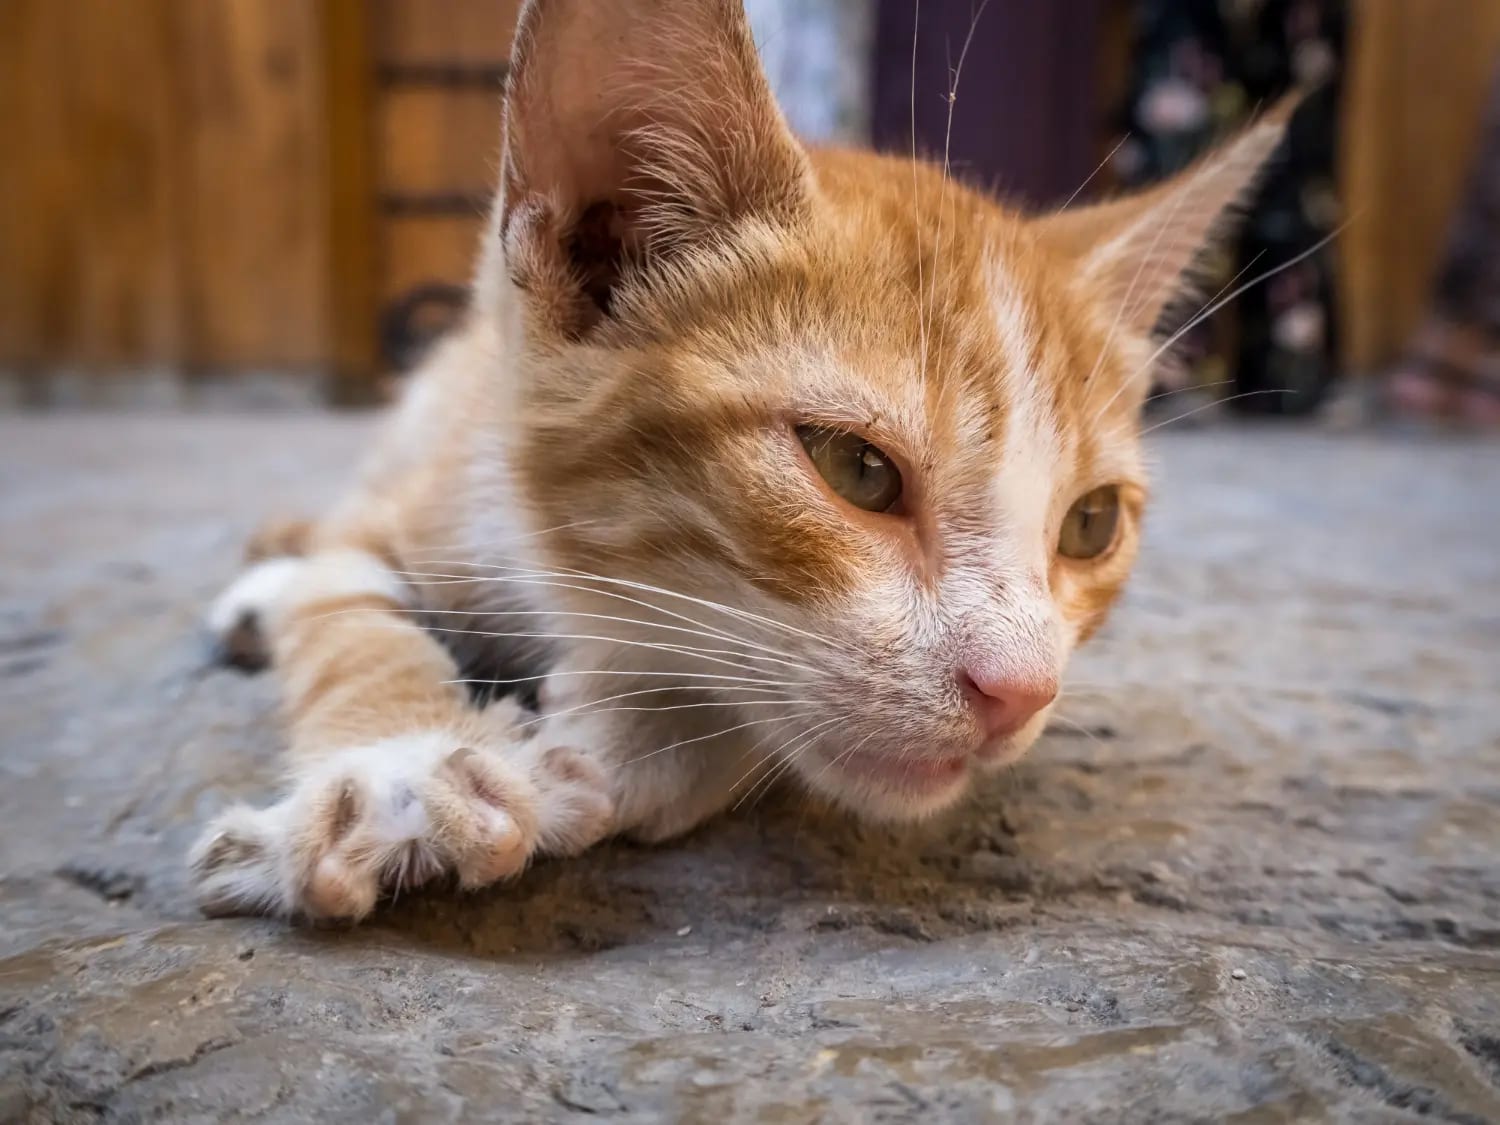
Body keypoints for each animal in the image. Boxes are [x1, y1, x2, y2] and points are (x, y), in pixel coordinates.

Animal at [187, 0, 1290, 924]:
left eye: (1091, 524)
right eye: (856, 468)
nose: (1021, 693)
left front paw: (626, 747)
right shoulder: (439, 493)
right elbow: (345, 607)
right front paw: (403, 772)